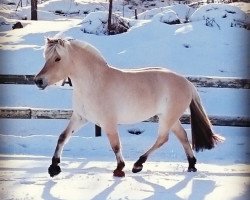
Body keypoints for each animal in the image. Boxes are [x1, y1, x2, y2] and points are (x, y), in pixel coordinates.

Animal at [34, 37, 224, 177]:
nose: (38, 81)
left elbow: (116, 145)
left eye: (58, 58)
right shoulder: (80, 118)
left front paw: (119, 169)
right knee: (182, 136)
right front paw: (54, 167)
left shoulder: (108, 122)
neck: (94, 82)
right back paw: (191, 165)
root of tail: (187, 83)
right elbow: (62, 137)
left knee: (163, 138)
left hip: (168, 118)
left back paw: (138, 164)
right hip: (169, 117)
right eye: (45, 57)